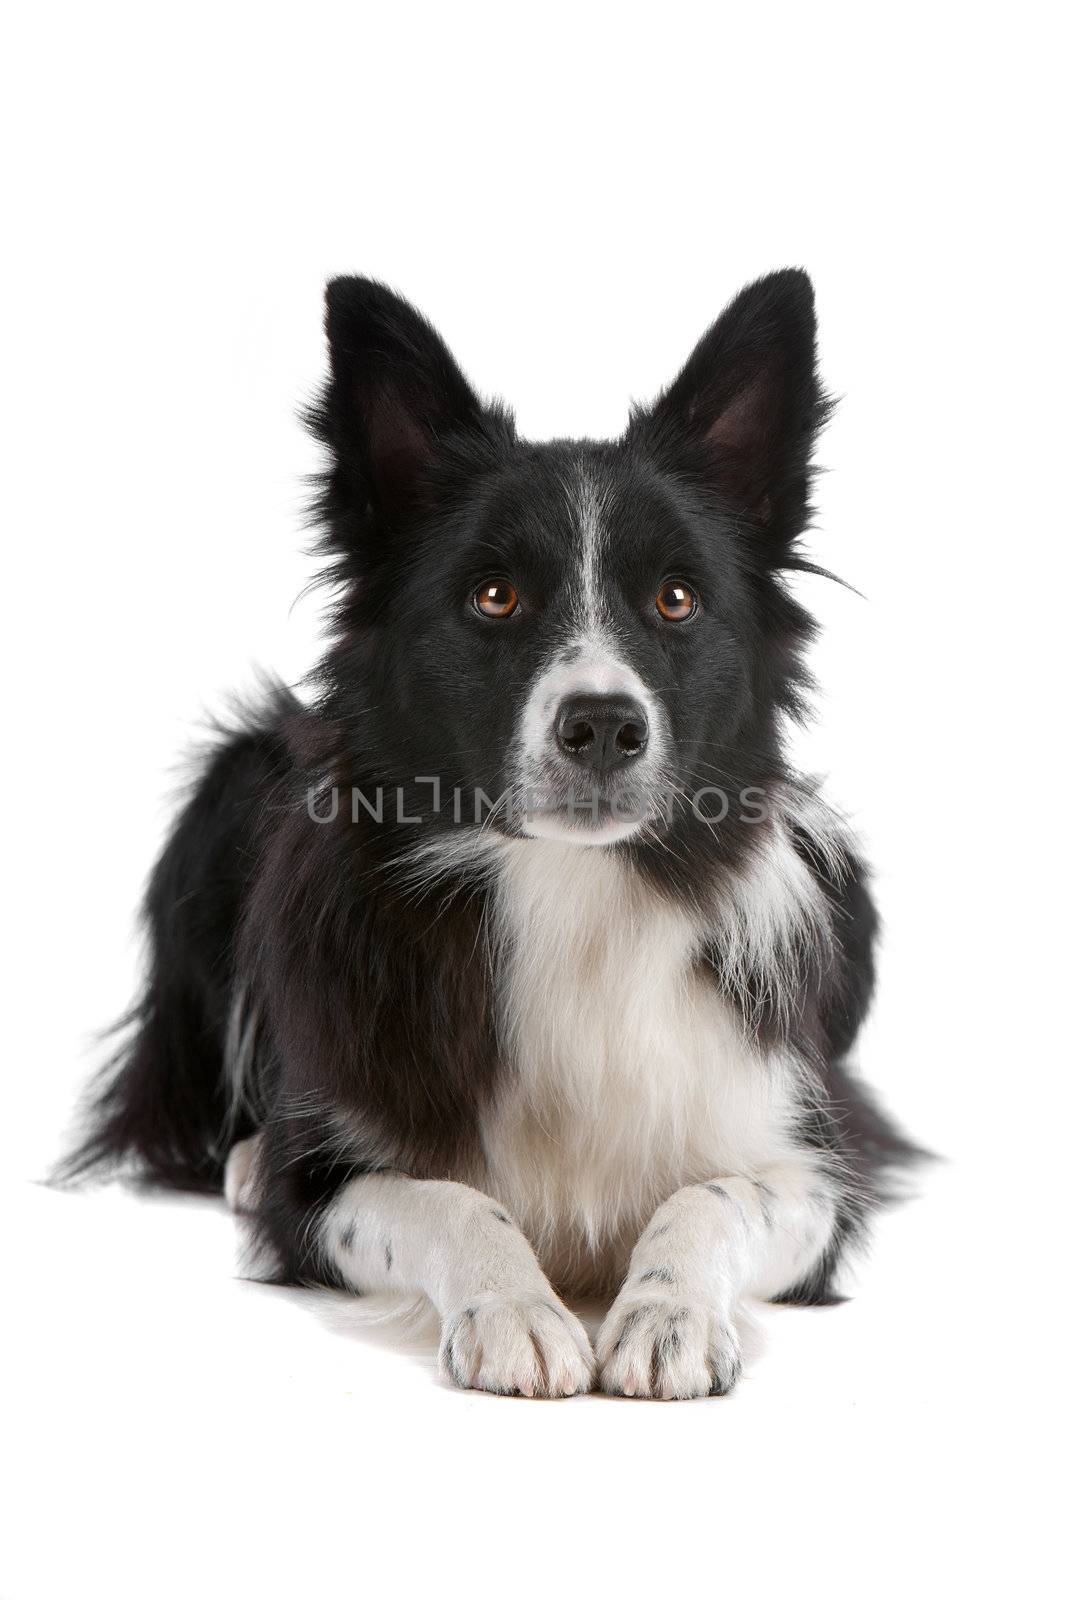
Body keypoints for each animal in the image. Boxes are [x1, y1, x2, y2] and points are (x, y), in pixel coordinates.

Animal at [66, 275, 921, 1401]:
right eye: (493, 595)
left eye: (676, 599)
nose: (601, 724)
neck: (573, 887)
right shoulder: (321, 1200)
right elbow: (447, 1199)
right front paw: (515, 1307)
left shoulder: (814, 1176)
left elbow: (712, 1199)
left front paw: (667, 1314)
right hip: (228, 787)